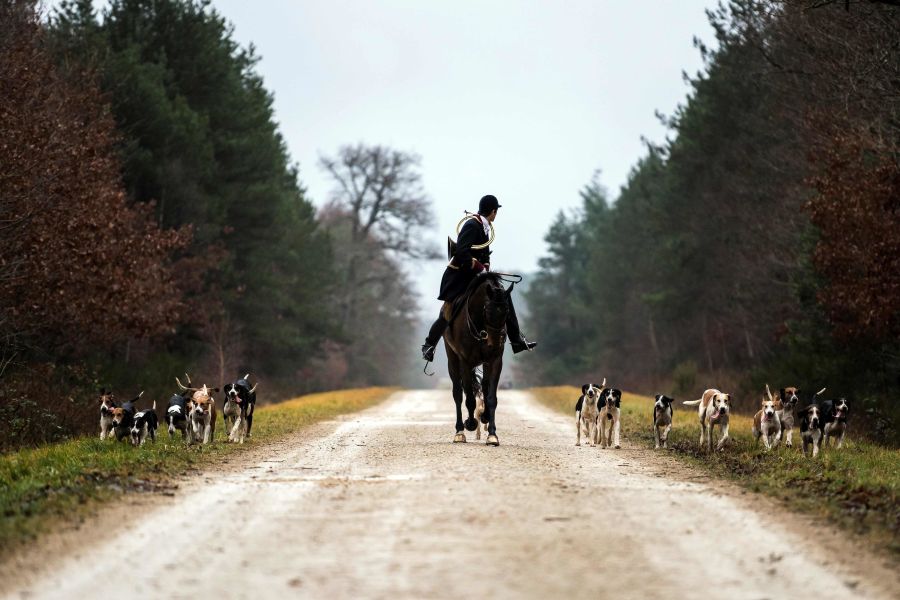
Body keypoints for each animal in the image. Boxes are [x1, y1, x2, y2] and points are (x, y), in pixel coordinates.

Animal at [444, 272, 512, 446]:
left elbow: (491, 397)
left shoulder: (495, 361)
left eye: (507, 311)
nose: (495, 343)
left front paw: (492, 435)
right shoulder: (465, 362)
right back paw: (460, 432)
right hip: (452, 360)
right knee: (458, 393)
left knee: (484, 388)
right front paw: (470, 423)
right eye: (487, 310)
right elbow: (469, 398)